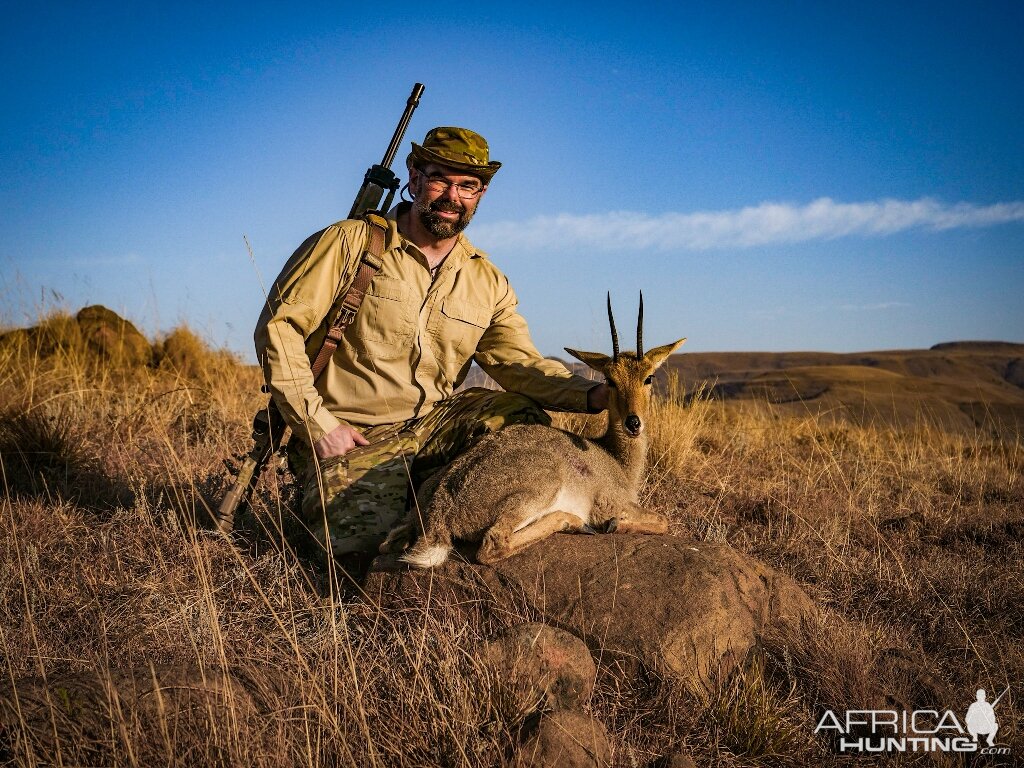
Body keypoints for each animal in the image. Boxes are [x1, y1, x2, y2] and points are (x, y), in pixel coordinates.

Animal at [380, 296, 684, 569]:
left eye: (648, 377)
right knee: (493, 543)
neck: (616, 458)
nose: (633, 423)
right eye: (610, 380)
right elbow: (663, 520)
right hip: (541, 488)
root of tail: (439, 515)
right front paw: (615, 525)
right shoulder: (611, 503)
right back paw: (574, 521)